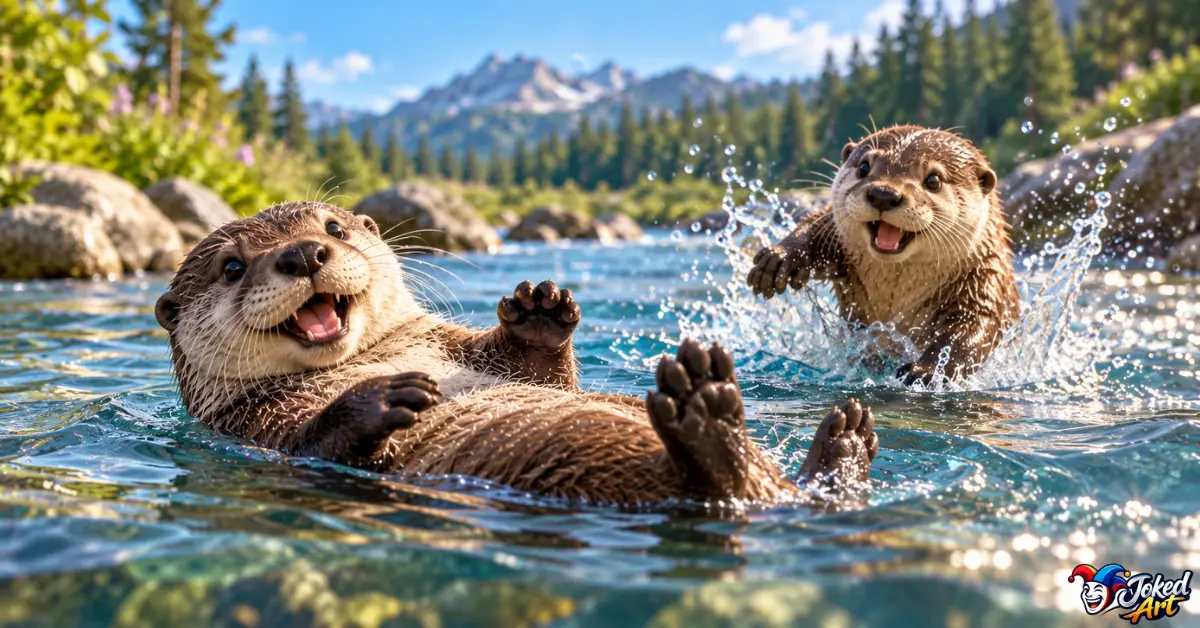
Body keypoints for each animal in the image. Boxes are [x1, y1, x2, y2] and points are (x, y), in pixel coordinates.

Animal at [155, 201, 879, 507]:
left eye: (333, 228)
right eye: (230, 267)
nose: (304, 253)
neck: (374, 356)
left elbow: (544, 374)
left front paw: (539, 307)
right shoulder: (254, 426)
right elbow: (313, 442)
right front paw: (383, 397)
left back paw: (841, 443)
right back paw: (706, 414)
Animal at [748, 126, 1019, 385]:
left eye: (933, 180)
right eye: (864, 167)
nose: (883, 194)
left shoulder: (984, 279)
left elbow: (972, 329)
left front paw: (926, 371)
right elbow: (817, 225)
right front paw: (778, 259)